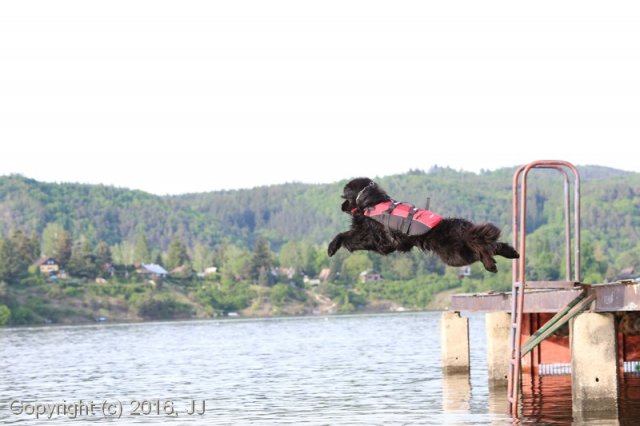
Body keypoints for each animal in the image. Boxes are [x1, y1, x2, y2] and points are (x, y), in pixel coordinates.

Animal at [328, 177, 516, 272]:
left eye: (345, 197)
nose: (341, 206)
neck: (371, 203)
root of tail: (460, 227)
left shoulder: (378, 240)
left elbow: (345, 236)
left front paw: (331, 247)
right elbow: (346, 235)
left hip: (455, 255)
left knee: (483, 249)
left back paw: (491, 264)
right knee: (491, 244)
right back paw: (511, 253)